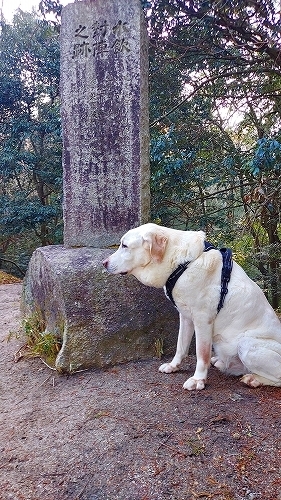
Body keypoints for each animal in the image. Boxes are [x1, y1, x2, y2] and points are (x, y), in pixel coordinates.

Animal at [102, 223, 280, 390]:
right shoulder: (185, 316)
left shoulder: (203, 319)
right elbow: (181, 345)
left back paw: (253, 379)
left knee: (277, 378)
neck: (183, 264)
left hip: (246, 344)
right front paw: (173, 366)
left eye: (124, 246)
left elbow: (201, 353)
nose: (104, 263)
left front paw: (198, 380)